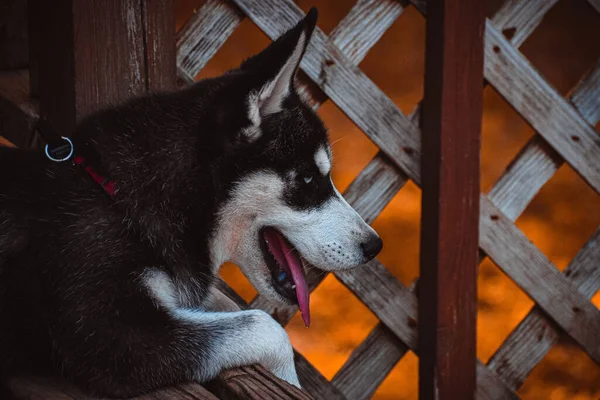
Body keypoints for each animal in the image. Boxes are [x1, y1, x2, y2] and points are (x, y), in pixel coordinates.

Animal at [0, 7, 382, 398]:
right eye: (307, 179)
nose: (374, 246)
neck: (118, 199)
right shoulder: (105, 332)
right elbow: (266, 327)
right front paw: (288, 378)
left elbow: (222, 301)